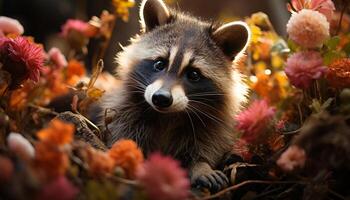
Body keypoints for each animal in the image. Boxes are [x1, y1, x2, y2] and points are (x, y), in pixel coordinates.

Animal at [100, 0, 250, 192]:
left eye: (193, 74)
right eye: (159, 64)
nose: (161, 98)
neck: (168, 116)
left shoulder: (211, 125)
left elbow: (205, 145)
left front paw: (201, 165)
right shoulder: (125, 112)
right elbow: (124, 138)